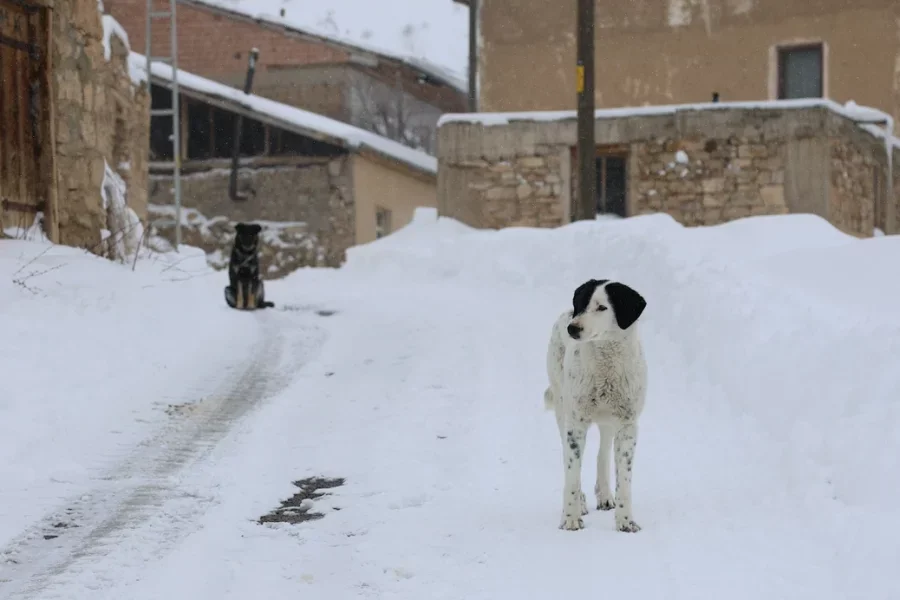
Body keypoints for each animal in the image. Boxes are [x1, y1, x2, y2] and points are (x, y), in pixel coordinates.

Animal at [540, 278, 648, 532]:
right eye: (580, 304)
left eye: (602, 307)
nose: (572, 328)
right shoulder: (575, 425)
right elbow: (572, 473)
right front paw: (571, 518)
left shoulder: (628, 426)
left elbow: (624, 479)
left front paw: (625, 521)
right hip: (563, 407)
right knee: (569, 460)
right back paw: (580, 502)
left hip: (608, 421)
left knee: (603, 453)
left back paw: (605, 495)